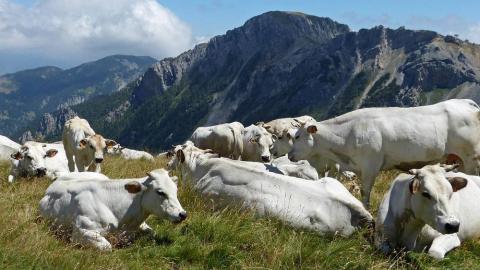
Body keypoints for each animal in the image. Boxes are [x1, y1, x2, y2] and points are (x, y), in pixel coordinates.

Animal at [39, 169, 187, 251]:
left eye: (175, 190)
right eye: (160, 192)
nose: (183, 214)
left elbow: (152, 232)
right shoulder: (80, 232)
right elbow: (107, 247)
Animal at [288, 99, 480, 207]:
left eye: (297, 136)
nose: (289, 156)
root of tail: (465, 103)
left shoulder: (370, 166)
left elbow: (365, 193)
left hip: (471, 158)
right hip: (459, 160)